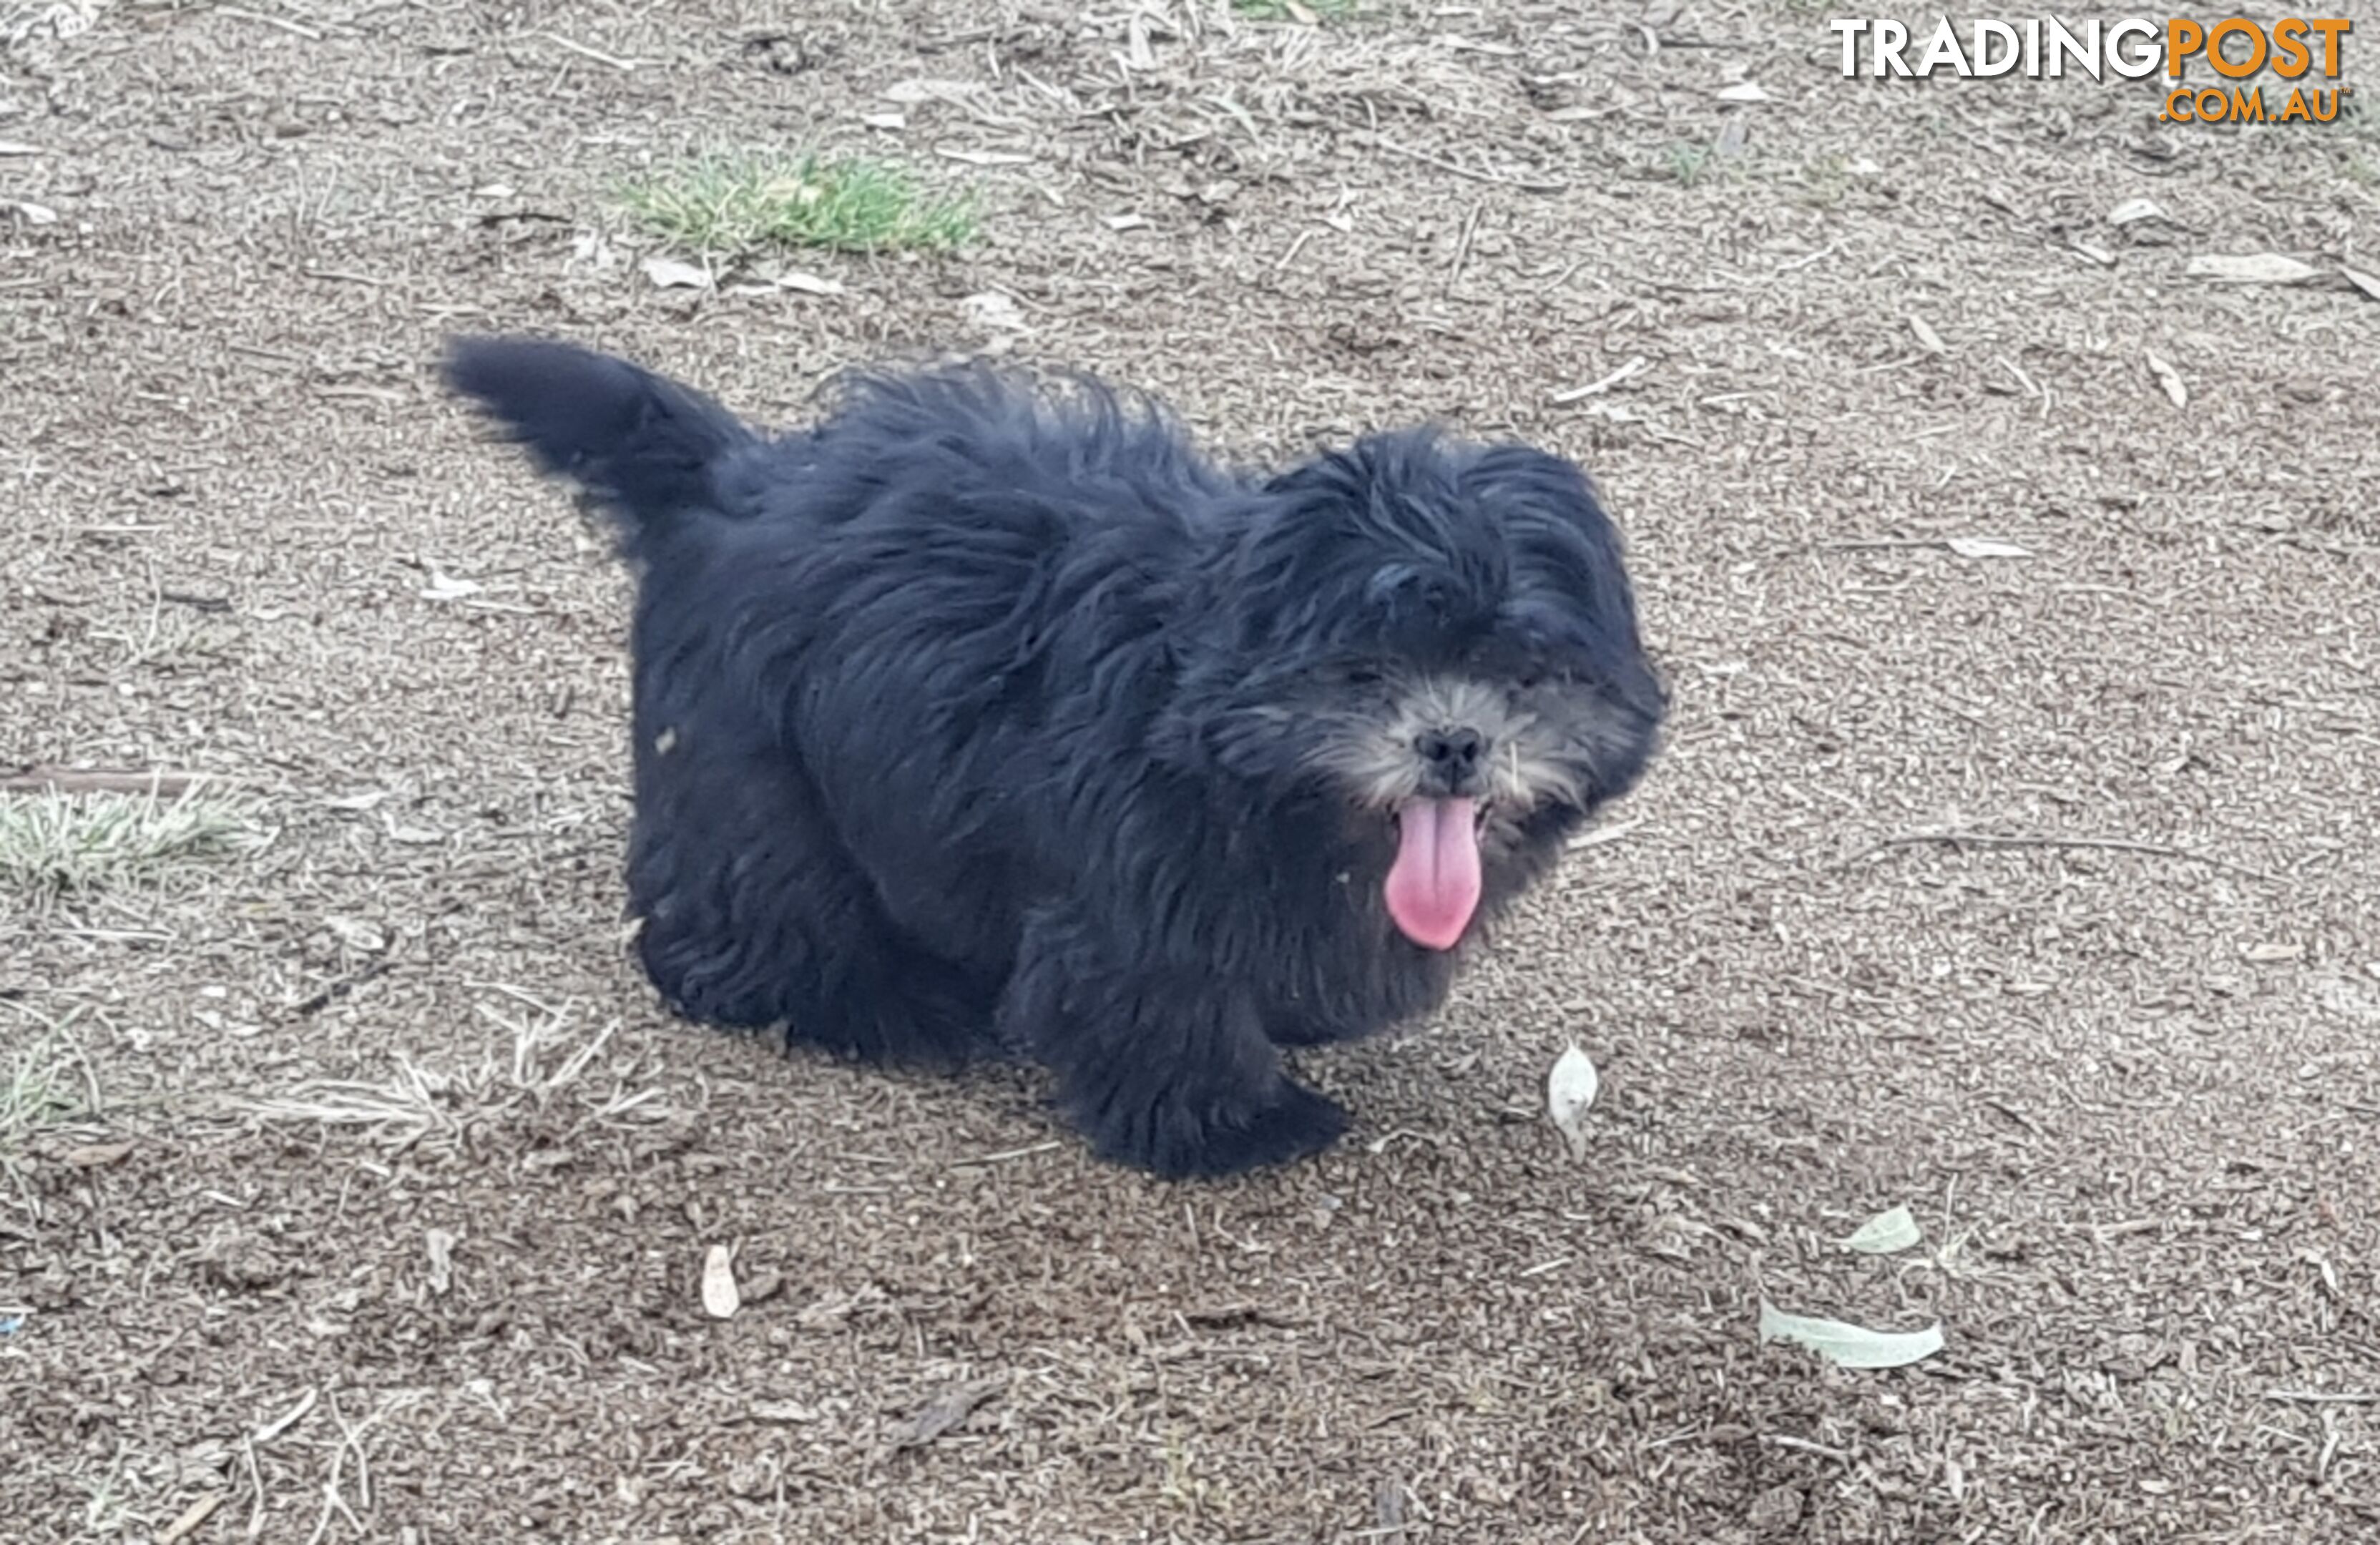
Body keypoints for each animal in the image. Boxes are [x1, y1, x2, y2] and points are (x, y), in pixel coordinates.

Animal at [449, 338, 1675, 1176]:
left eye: (1526, 672)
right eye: (1361, 671)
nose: (1453, 741)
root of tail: (733, 478)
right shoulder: (1134, 901)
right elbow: (1161, 1006)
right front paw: (1230, 1124)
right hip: (752, 773)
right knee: (757, 903)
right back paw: (867, 1002)